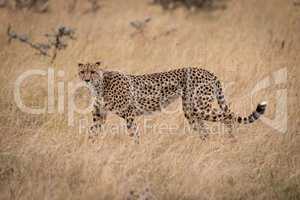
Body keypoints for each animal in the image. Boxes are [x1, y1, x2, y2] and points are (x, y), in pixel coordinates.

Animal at [78, 61, 268, 143]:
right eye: (82, 71)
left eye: (92, 71)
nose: (86, 80)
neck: (99, 84)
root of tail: (207, 71)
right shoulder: (99, 115)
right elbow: (92, 133)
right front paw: (91, 149)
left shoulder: (129, 114)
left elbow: (133, 134)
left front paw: (135, 149)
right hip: (191, 110)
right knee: (205, 130)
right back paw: (204, 146)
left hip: (201, 107)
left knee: (227, 116)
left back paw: (232, 140)